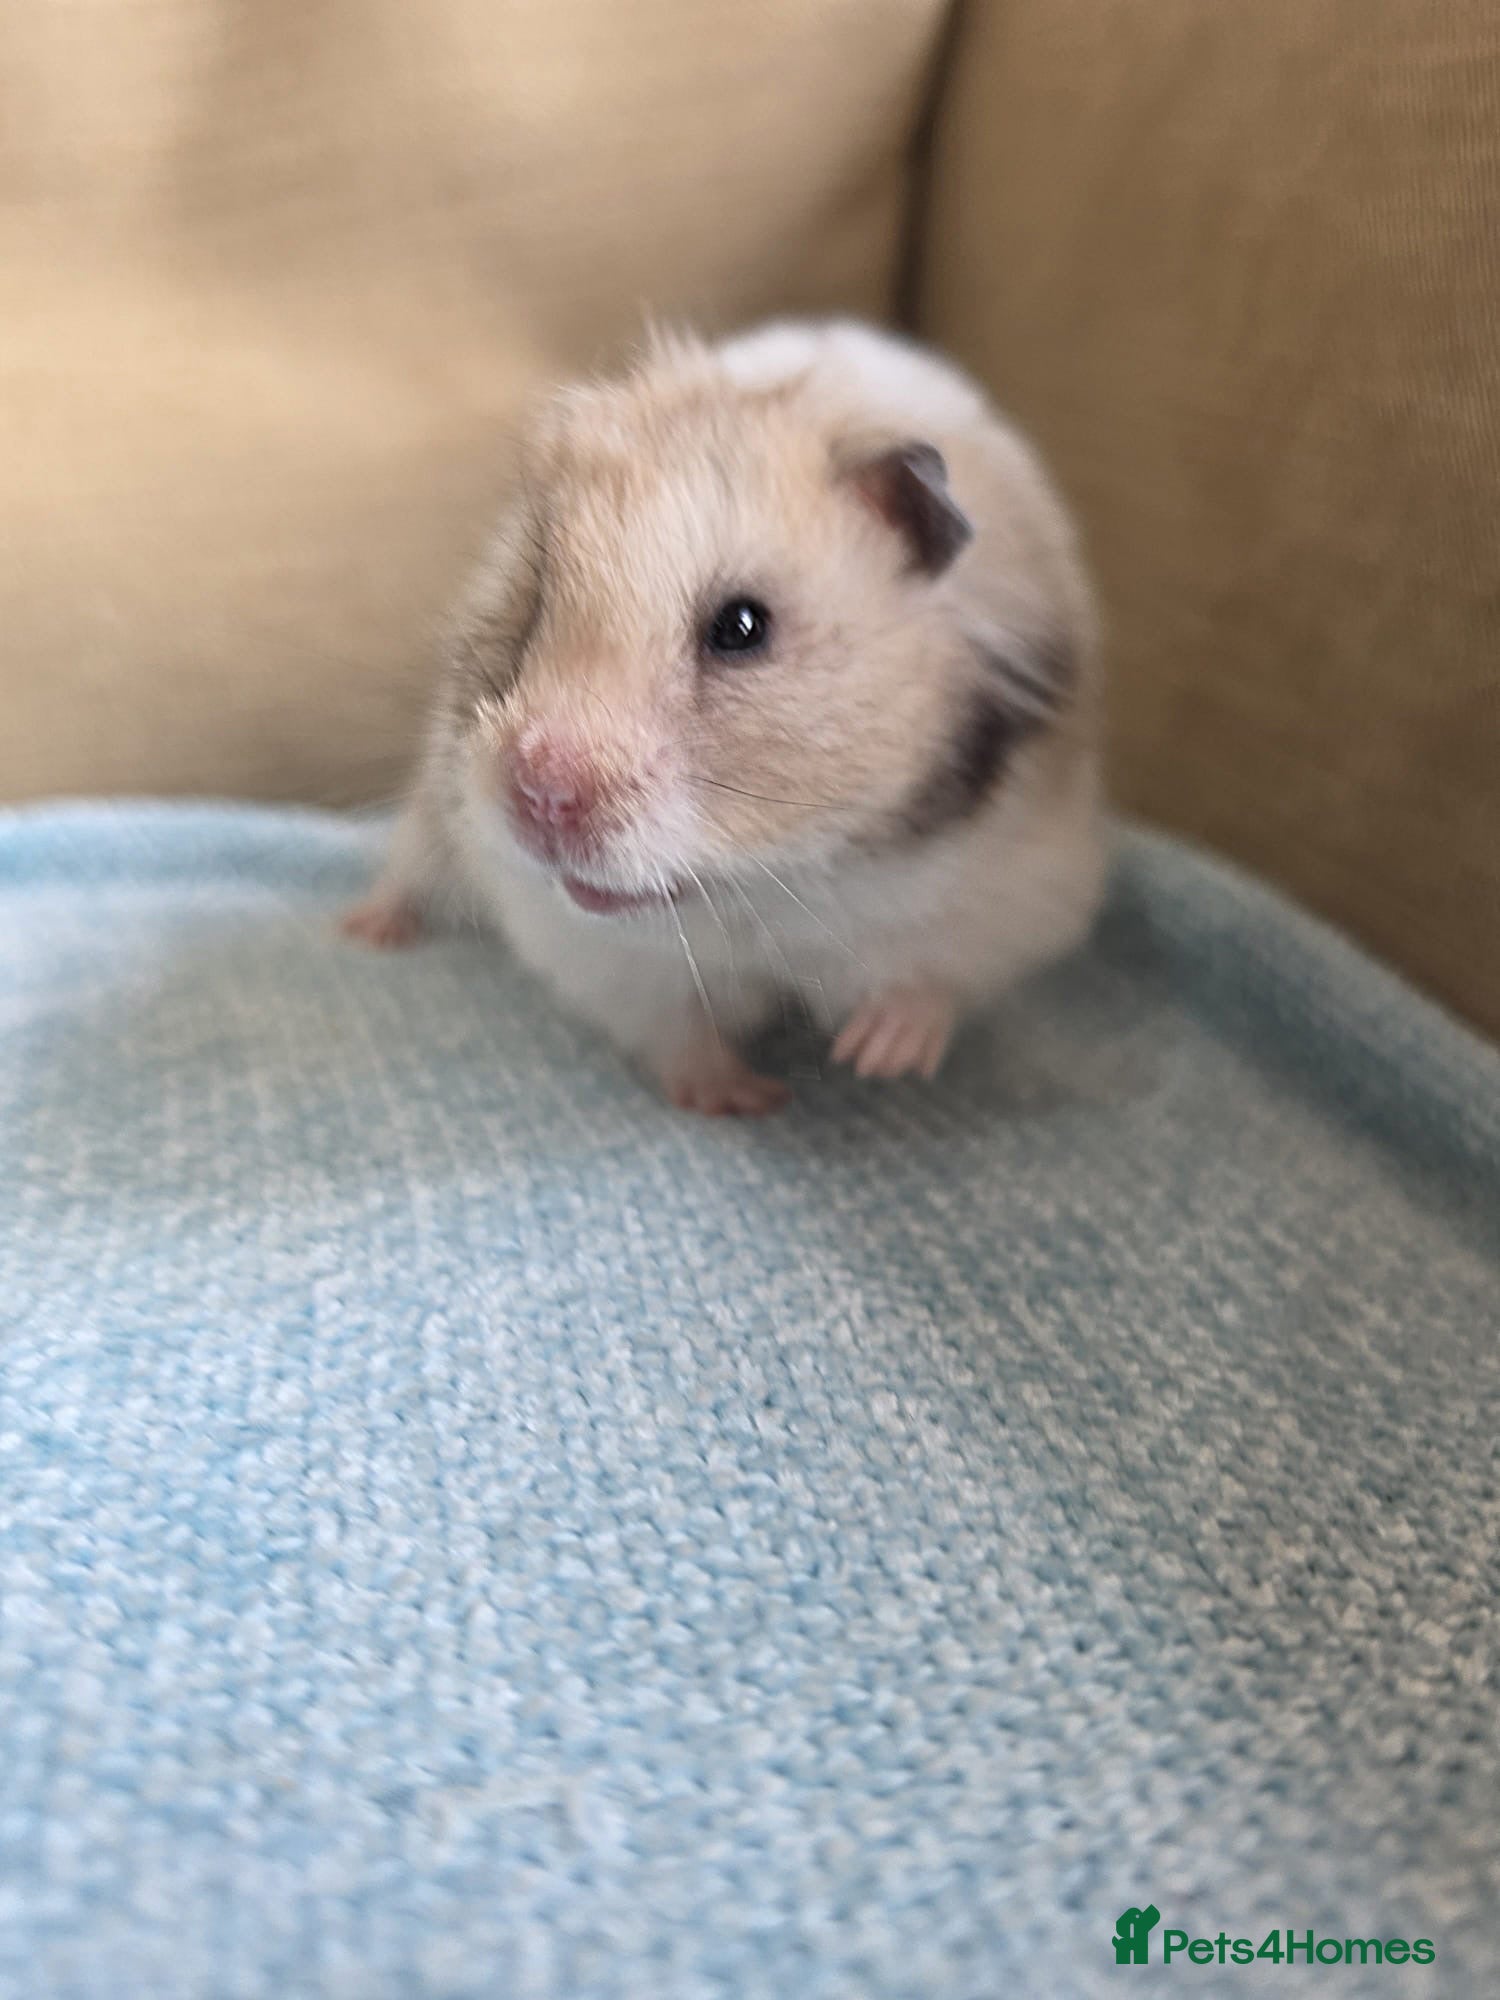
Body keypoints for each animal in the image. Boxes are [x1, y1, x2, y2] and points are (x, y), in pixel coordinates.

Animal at [344, 319, 1106, 1114]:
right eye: (537, 593)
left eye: (742, 627)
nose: (541, 797)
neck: (770, 878)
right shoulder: (598, 952)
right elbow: (678, 1029)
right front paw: (748, 1098)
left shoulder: (1011, 894)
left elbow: (930, 983)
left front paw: (876, 1059)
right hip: (439, 802)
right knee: (410, 864)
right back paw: (368, 930)